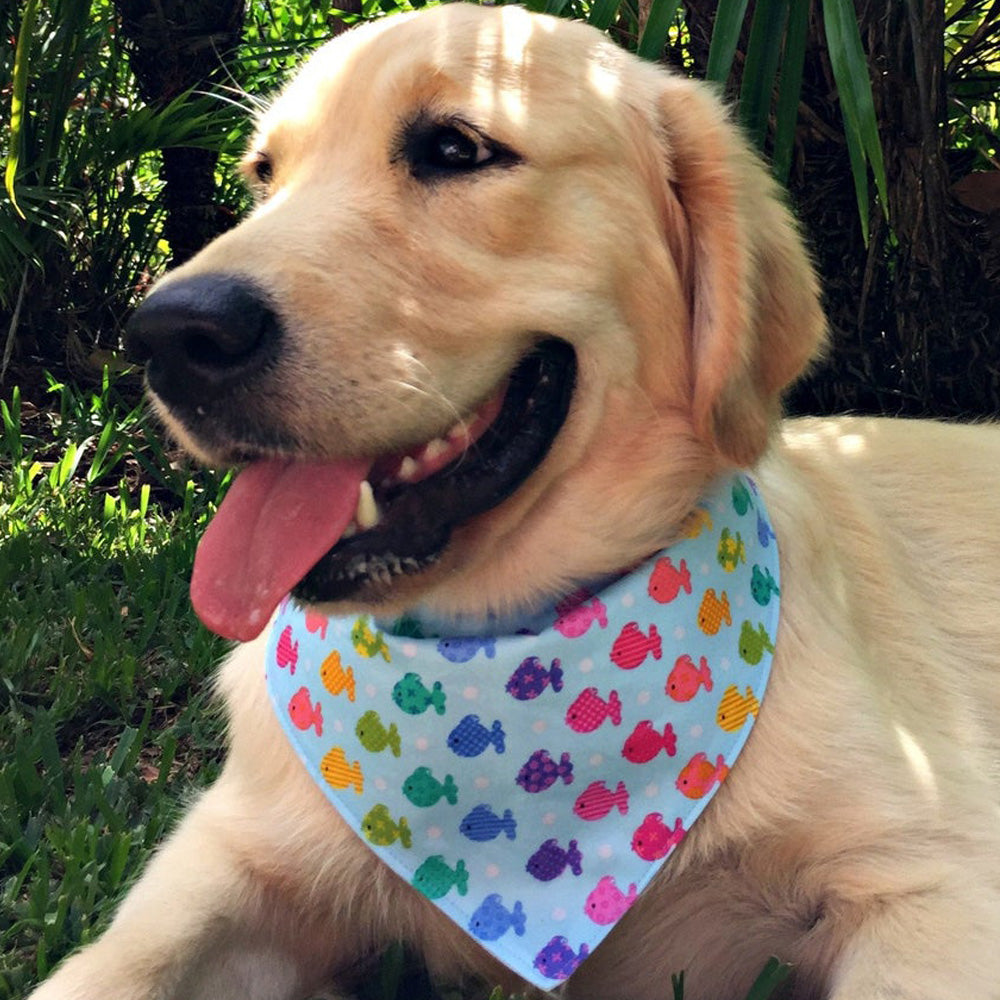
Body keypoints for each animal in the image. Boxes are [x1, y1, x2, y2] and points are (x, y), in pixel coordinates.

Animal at [29, 1, 1000, 1000]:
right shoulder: (231, 854)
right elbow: (108, 968)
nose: (171, 336)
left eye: (456, 149)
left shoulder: (933, 879)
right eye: (264, 174)